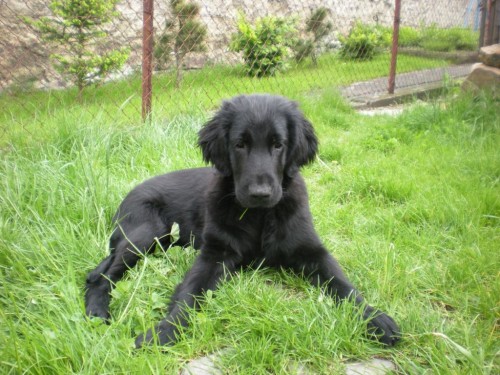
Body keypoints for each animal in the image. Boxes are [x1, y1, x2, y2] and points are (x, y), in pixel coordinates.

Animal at [84, 94, 400, 350]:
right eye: (239, 145)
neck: (260, 216)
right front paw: (165, 331)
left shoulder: (312, 250)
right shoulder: (215, 252)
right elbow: (189, 293)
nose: (260, 193)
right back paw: (97, 311)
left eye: (278, 145)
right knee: (103, 275)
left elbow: (343, 284)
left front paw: (375, 318)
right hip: (149, 231)